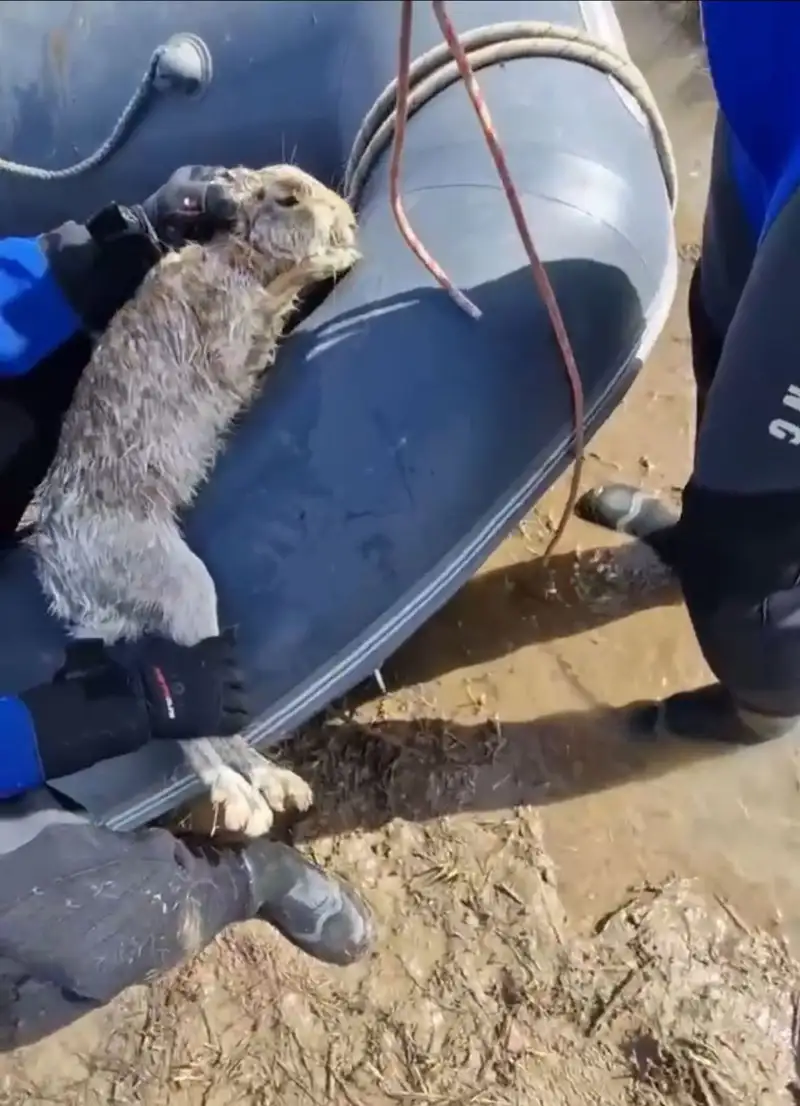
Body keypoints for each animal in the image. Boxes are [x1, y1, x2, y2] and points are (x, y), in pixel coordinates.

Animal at [28, 163, 360, 831]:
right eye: (289, 198)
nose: (349, 216)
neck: (240, 253)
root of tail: (58, 570)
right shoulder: (233, 326)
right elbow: (273, 300)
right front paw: (333, 257)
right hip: (179, 582)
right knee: (196, 717)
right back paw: (250, 801)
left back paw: (270, 789)